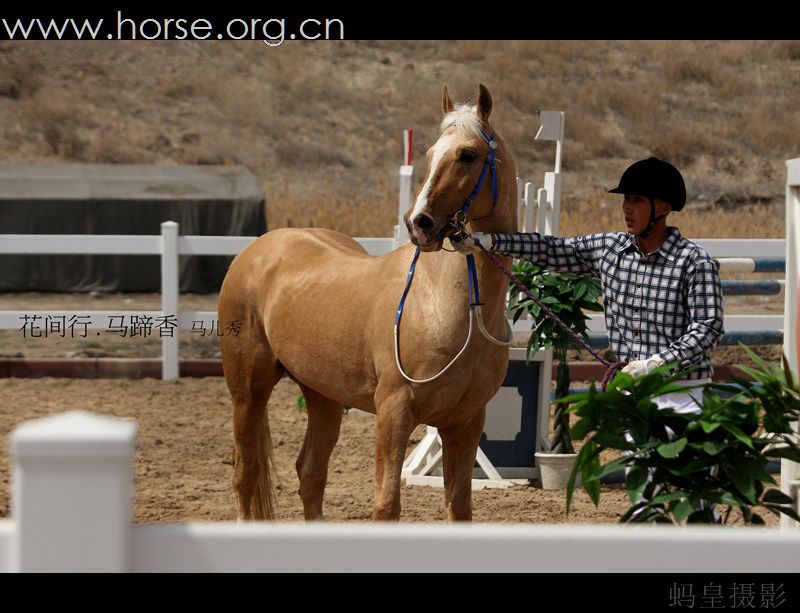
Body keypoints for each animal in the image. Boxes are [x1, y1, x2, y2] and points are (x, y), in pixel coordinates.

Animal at [219, 82, 520, 520]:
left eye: (468, 154)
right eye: (430, 153)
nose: (420, 223)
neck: (448, 307)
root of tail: (258, 249)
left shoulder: (464, 423)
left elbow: (459, 507)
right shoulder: (393, 414)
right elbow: (386, 505)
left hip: (323, 397)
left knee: (310, 472)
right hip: (248, 392)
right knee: (246, 471)